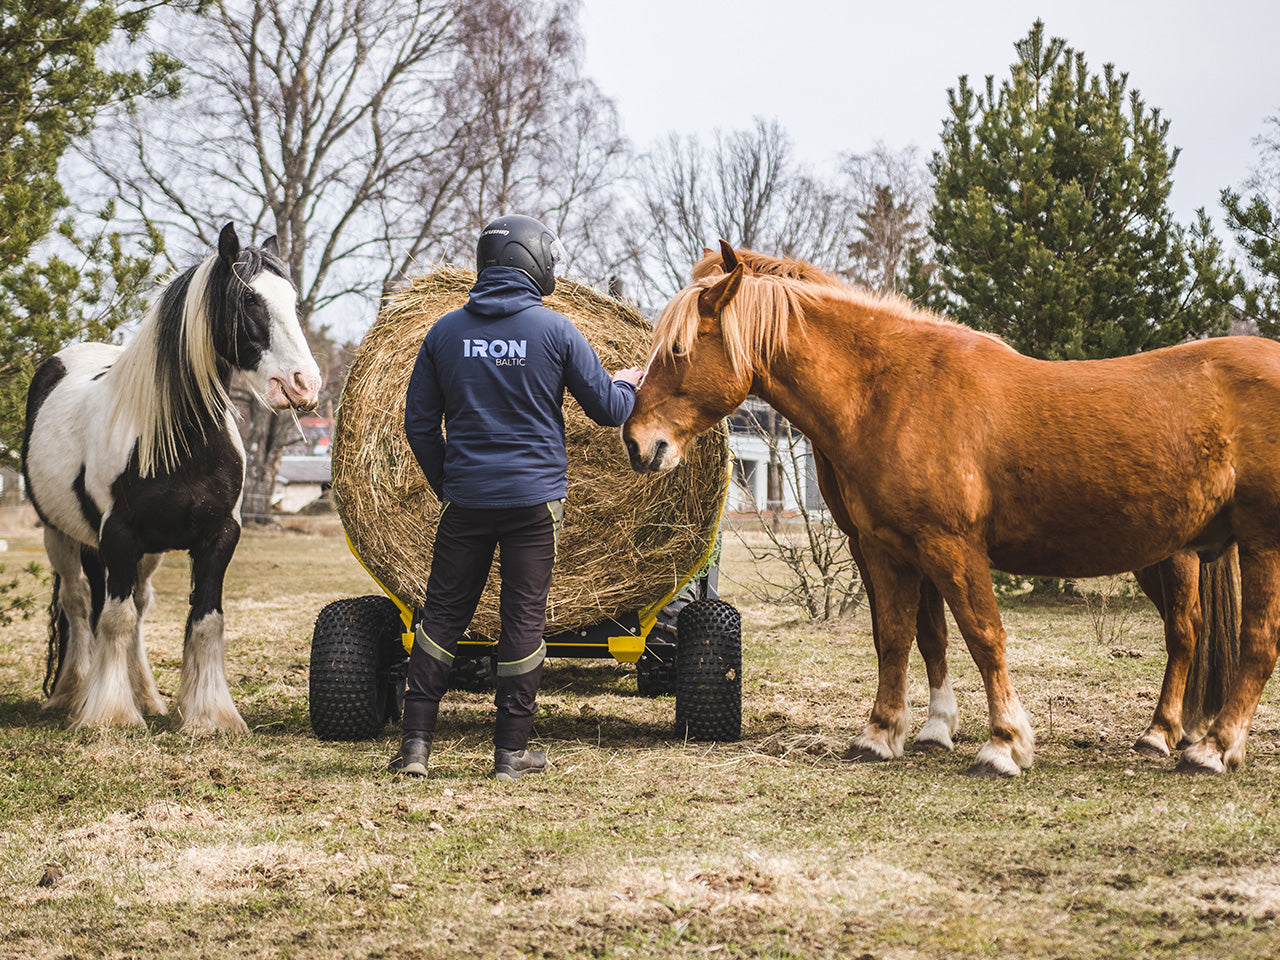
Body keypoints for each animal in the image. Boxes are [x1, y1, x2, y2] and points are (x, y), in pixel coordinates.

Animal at [20, 225, 322, 737]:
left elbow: (205, 620)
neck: (178, 439)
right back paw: (72, 695)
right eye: (248, 299)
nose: (304, 384)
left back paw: (146, 697)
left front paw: (210, 717)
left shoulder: (219, 536)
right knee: (80, 605)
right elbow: (114, 619)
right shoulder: (118, 536)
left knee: (136, 604)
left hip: (142, 552)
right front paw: (111, 715)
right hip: (59, 535)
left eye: (292, 300)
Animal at [622, 244, 1269, 778]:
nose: (637, 443)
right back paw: (1193, 737)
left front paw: (1003, 744)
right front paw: (886, 734)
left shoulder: (949, 545)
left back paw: (1188, 742)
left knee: (1211, 636)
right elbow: (901, 636)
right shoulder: (887, 547)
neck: (891, 390)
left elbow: (981, 635)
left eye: (677, 349)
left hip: (1230, 549)